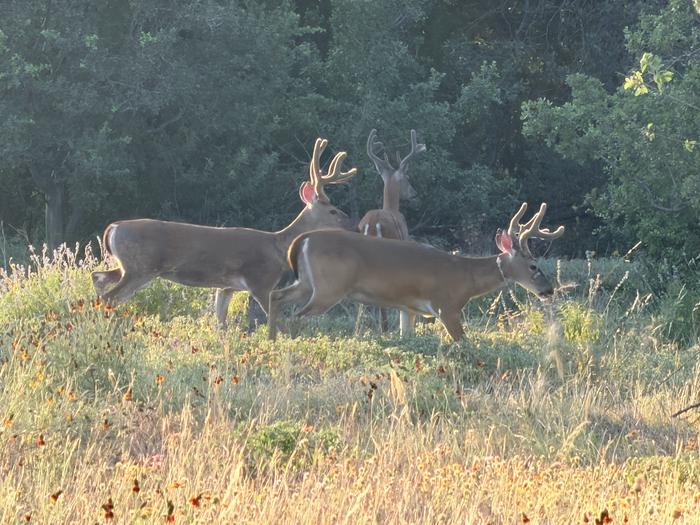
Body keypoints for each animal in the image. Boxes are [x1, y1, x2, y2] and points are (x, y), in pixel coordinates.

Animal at [92, 138, 357, 328]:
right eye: (333, 210)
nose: (352, 225)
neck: (279, 247)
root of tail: (113, 228)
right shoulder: (261, 282)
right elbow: (277, 322)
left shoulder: (227, 287)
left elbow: (221, 322)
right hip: (140, 267)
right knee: (110, 297)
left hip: (127, 266)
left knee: (98, 277)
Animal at [268, 202, 564, 342]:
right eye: (534, 265)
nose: (548, 290)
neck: (465, 278)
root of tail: (302, 240)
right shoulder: (446, 307)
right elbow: (463, 341)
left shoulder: (407, 308)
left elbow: (406, 335)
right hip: (329, 288)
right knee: (296, 316)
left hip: (308, 283)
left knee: (276, 296)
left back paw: (271, 339)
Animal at [355, 128, 425, 336]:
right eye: (408, 178)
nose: (414, 194)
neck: (392, 208)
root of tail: (372, 224)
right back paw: (384, 327)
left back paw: (358, 330)